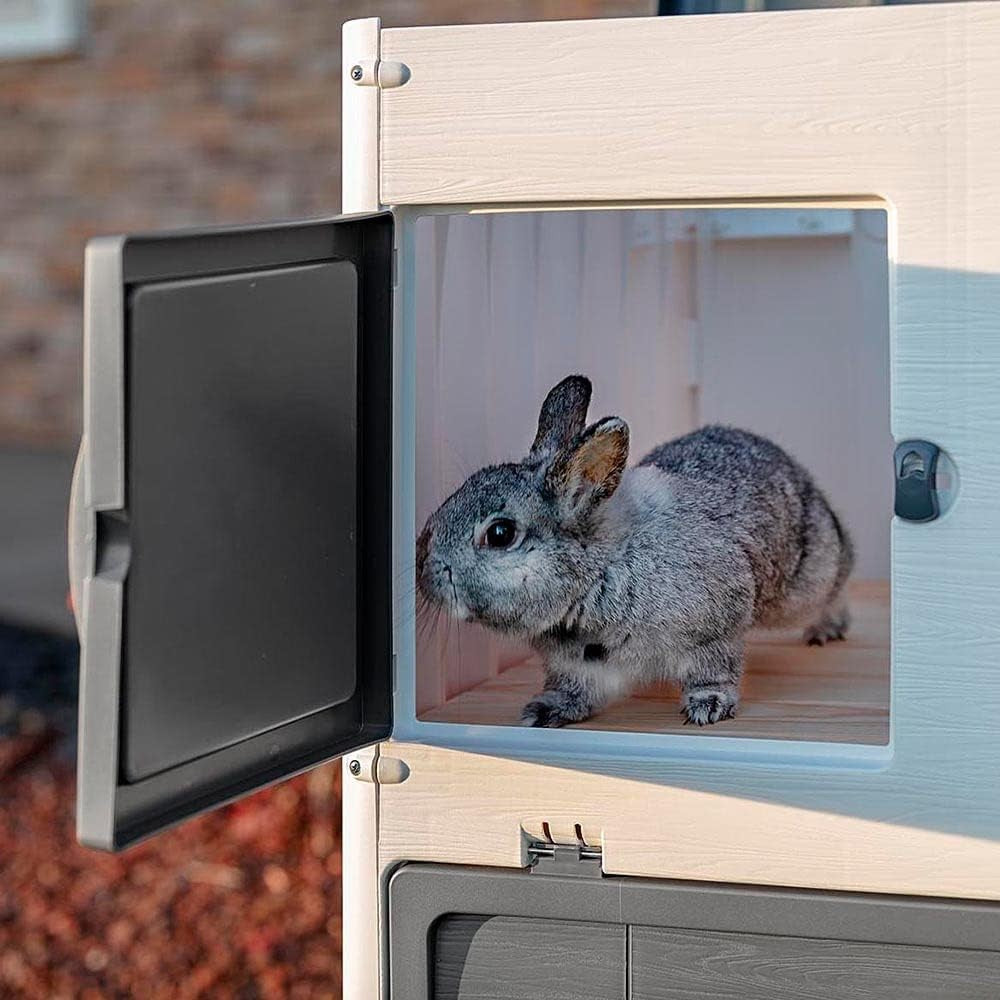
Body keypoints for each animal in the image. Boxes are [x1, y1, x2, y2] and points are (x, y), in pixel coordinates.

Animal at [416, 374, 854, 728]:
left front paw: (707, 708)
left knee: (837, 583)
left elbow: (715, 670)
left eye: (500, 533)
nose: (423, 569)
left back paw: (826, 630)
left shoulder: (715, 629)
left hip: (804, 583)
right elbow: (573, 688)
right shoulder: (574, 665)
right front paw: (544, 711)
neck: (599, 570)